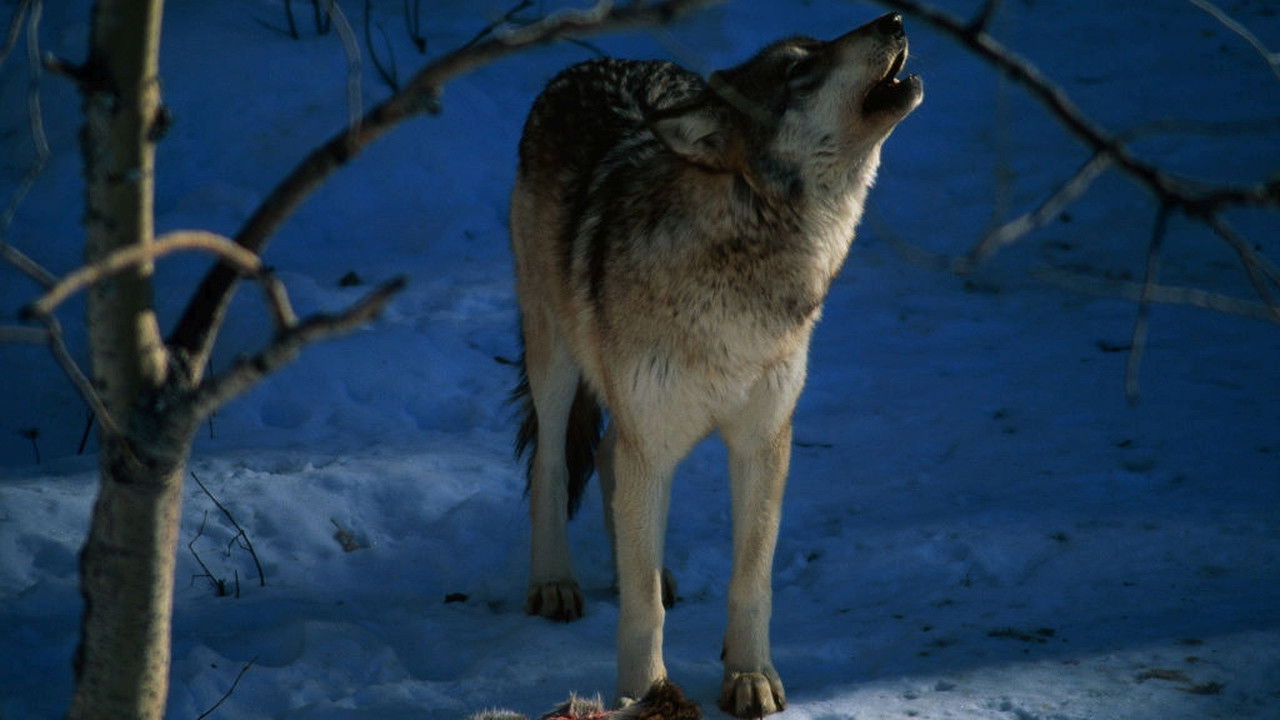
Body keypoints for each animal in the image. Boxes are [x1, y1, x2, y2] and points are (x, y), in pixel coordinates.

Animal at [510, 12, 922, 717]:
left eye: (817, 47)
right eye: (798, 68)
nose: (894, 18)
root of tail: (591, 63)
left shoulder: (763, 441)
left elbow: (750, 580)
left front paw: (749, 676)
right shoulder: (653, 441)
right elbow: (643, 608)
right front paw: (646, 692)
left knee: (612, 463)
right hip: (556, 358)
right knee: (554, 463)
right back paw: (556, 582)